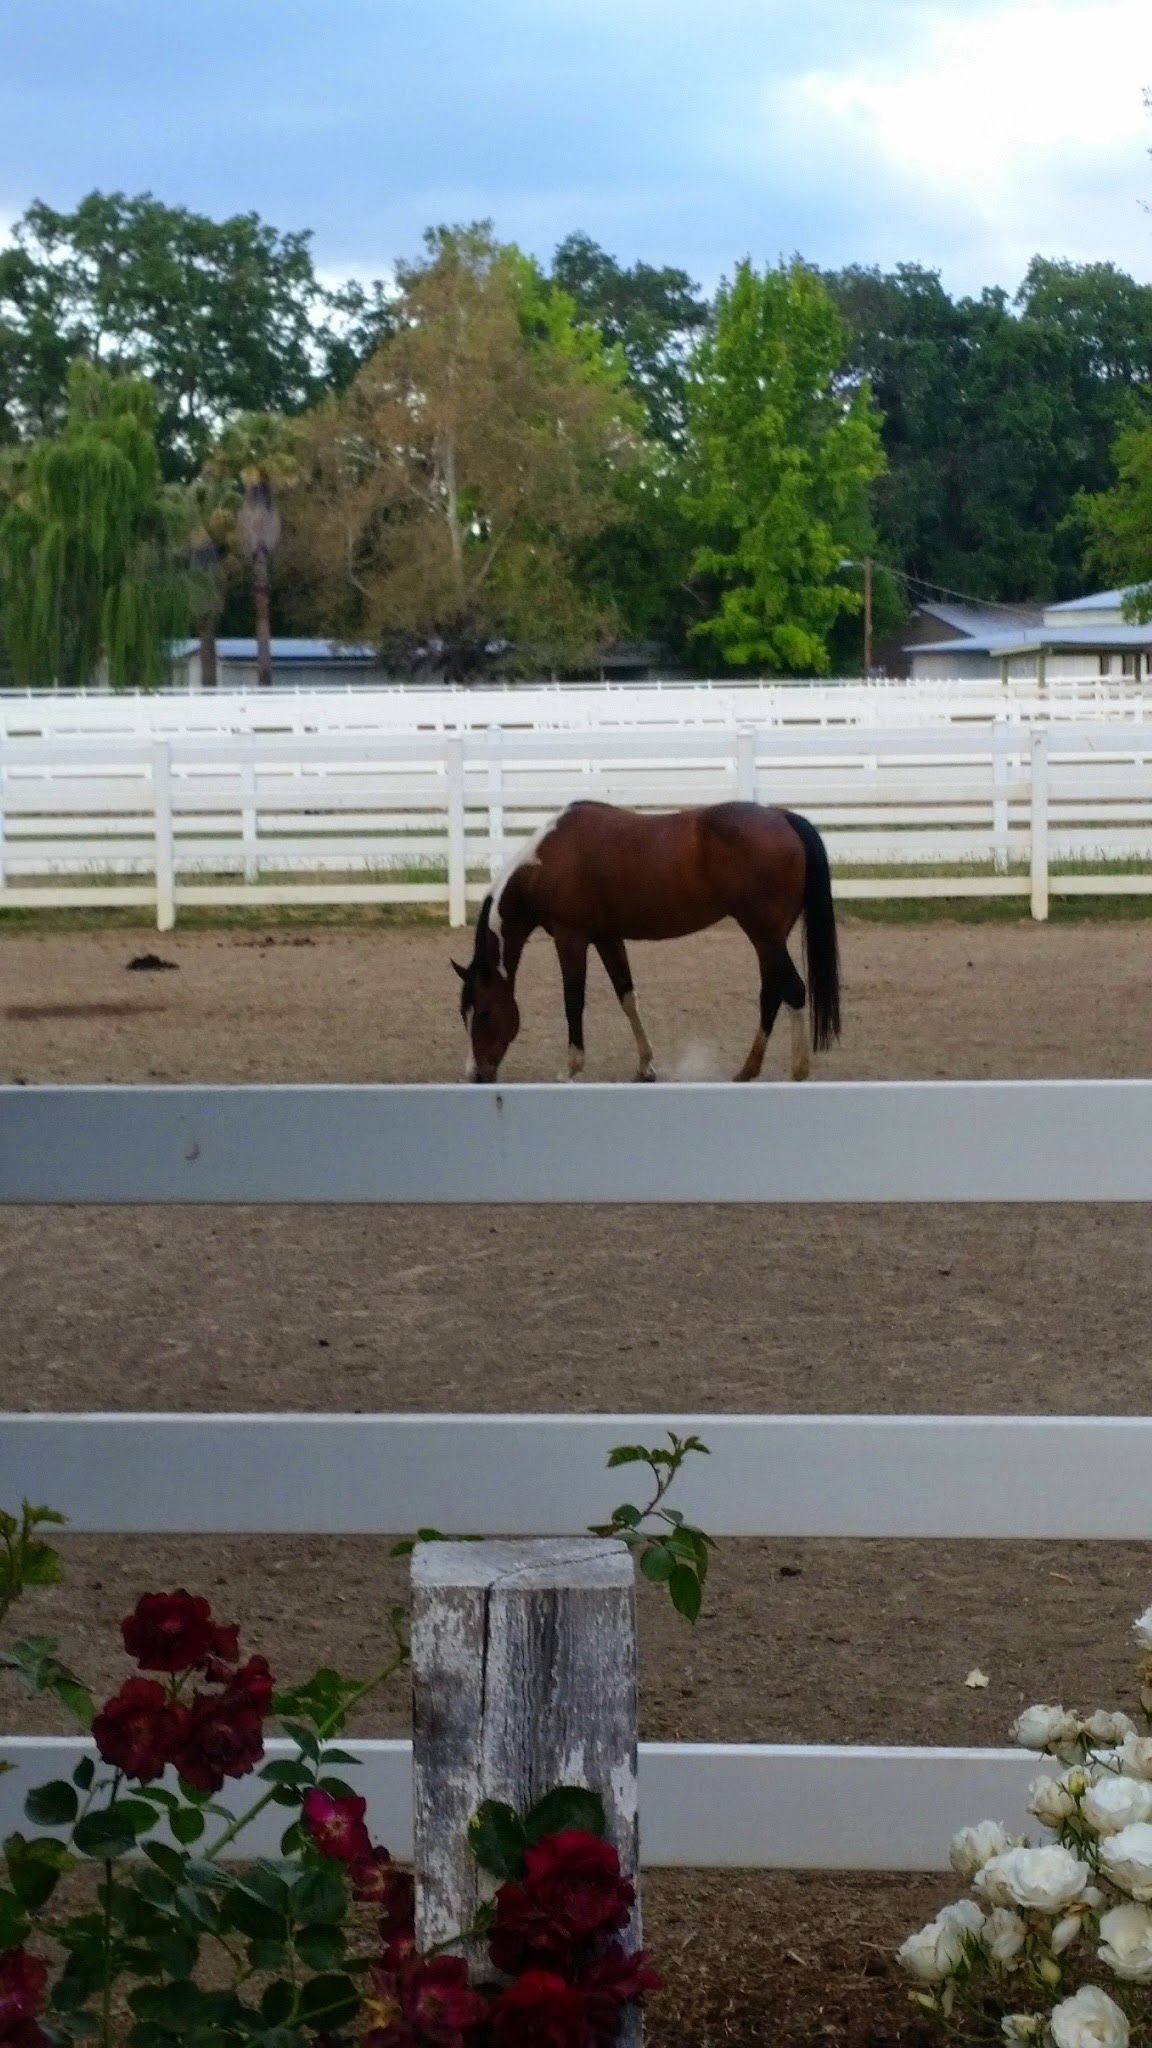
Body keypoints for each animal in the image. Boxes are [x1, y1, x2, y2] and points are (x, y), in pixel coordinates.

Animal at [452, 799, 840, 1085]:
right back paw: (747, 1070)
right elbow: (627, 996)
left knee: (794, 990)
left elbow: (573, 1001)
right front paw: (645, 1067)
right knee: (772, 994)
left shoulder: (570, 938)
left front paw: (570, 1068)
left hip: (764, 934)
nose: (476, 1075)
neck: (546, 863)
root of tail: (782, 817)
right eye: (463, 1013)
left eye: (484, 1012)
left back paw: (797, 1071)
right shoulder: (607, 938)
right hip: (768, 937)